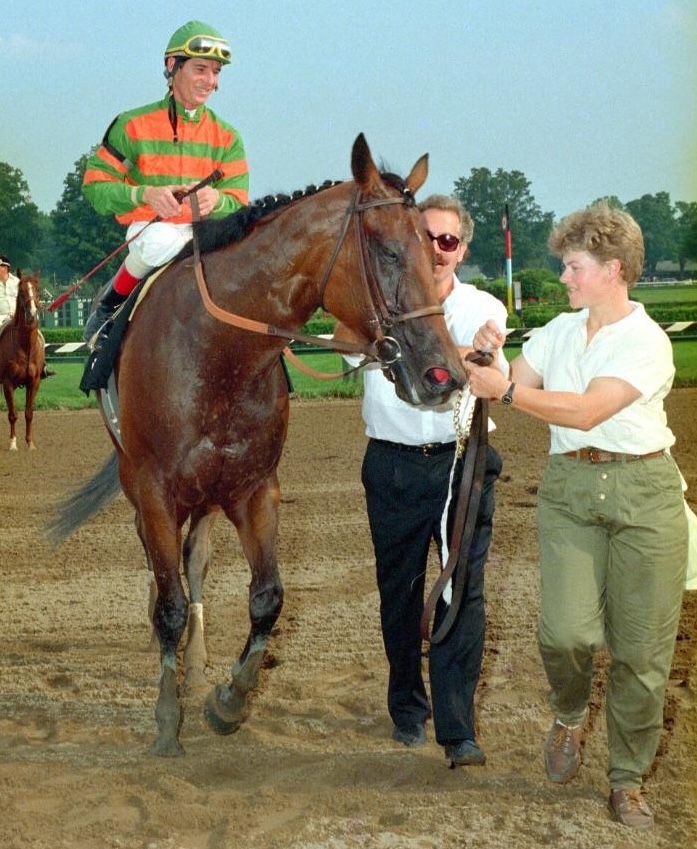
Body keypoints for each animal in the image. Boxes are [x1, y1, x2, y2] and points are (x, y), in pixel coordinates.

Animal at [49, 132, 468, 756]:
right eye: (388, 251)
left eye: (436, 247)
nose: (445, 375)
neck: (220, 352)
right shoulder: (155, 490)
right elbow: (169, 604)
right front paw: (167, 720)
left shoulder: (254, 490)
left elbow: (267, 598)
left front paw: (227, 701)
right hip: (140, 483)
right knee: (161, 569)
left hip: (205, 495)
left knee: (195, 562)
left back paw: (197, 663)